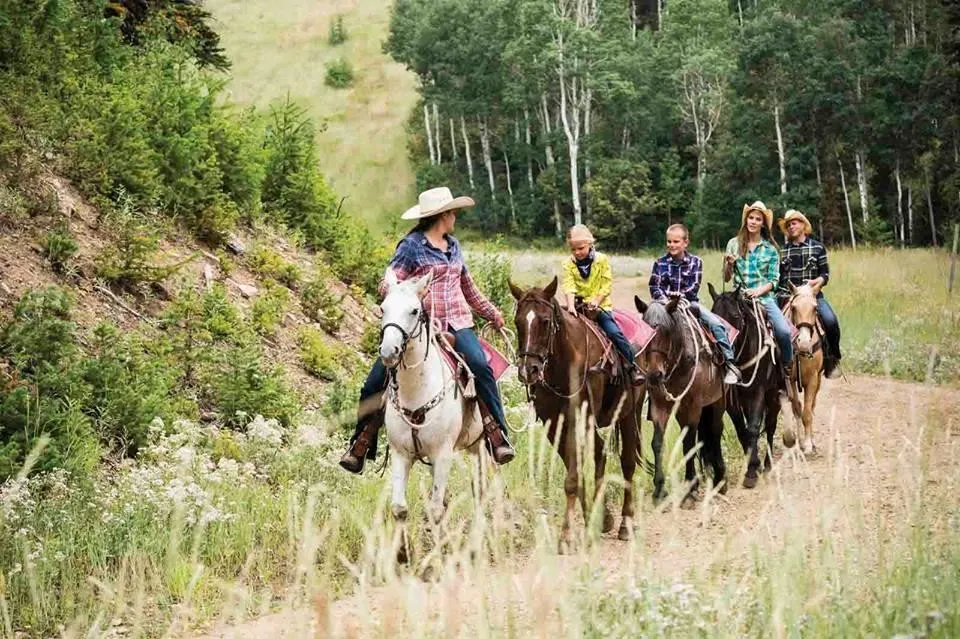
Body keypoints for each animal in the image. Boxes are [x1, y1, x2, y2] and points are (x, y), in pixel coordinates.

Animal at [378, 269, 484, 564]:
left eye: (414, 310)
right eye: (383, 308)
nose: (388, 352)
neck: (417, 390)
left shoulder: (443, 454)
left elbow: (435, 509)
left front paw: (436, 557)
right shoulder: (401, 454)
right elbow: (400, 507)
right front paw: (403, 553)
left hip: (479, 447)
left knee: (479, 493)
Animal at [509, 277, 645, 551]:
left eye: (545, 321)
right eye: (518, 322)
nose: (529, 370)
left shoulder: (576, 419)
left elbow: (572, 477)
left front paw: (566, 536)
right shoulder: (553, 424)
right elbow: (578, 474)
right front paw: (593, 519)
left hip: (627, 414)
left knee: (626, 463)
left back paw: (625, 524)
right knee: (601, 453)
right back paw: (603, 517)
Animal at [633, 295, 727, 506]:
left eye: (665, 332)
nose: (654, 375)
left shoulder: (693, 407)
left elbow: (690, 444)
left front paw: (691, 489)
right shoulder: (660, 406)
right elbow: (658, 443)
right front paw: (659, 490)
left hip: (717, 402)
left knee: (715, 432)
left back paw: (720, 479)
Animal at [708, 283, 786, 488]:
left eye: (735, 317)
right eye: (713, 315)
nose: (721, 350)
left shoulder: (757, 393)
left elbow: (753, 428)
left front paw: (752, 472)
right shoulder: (732, 401)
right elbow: (742, 430)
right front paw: (752, 464)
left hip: (774, 396)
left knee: (771, 424)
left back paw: (768, 464)